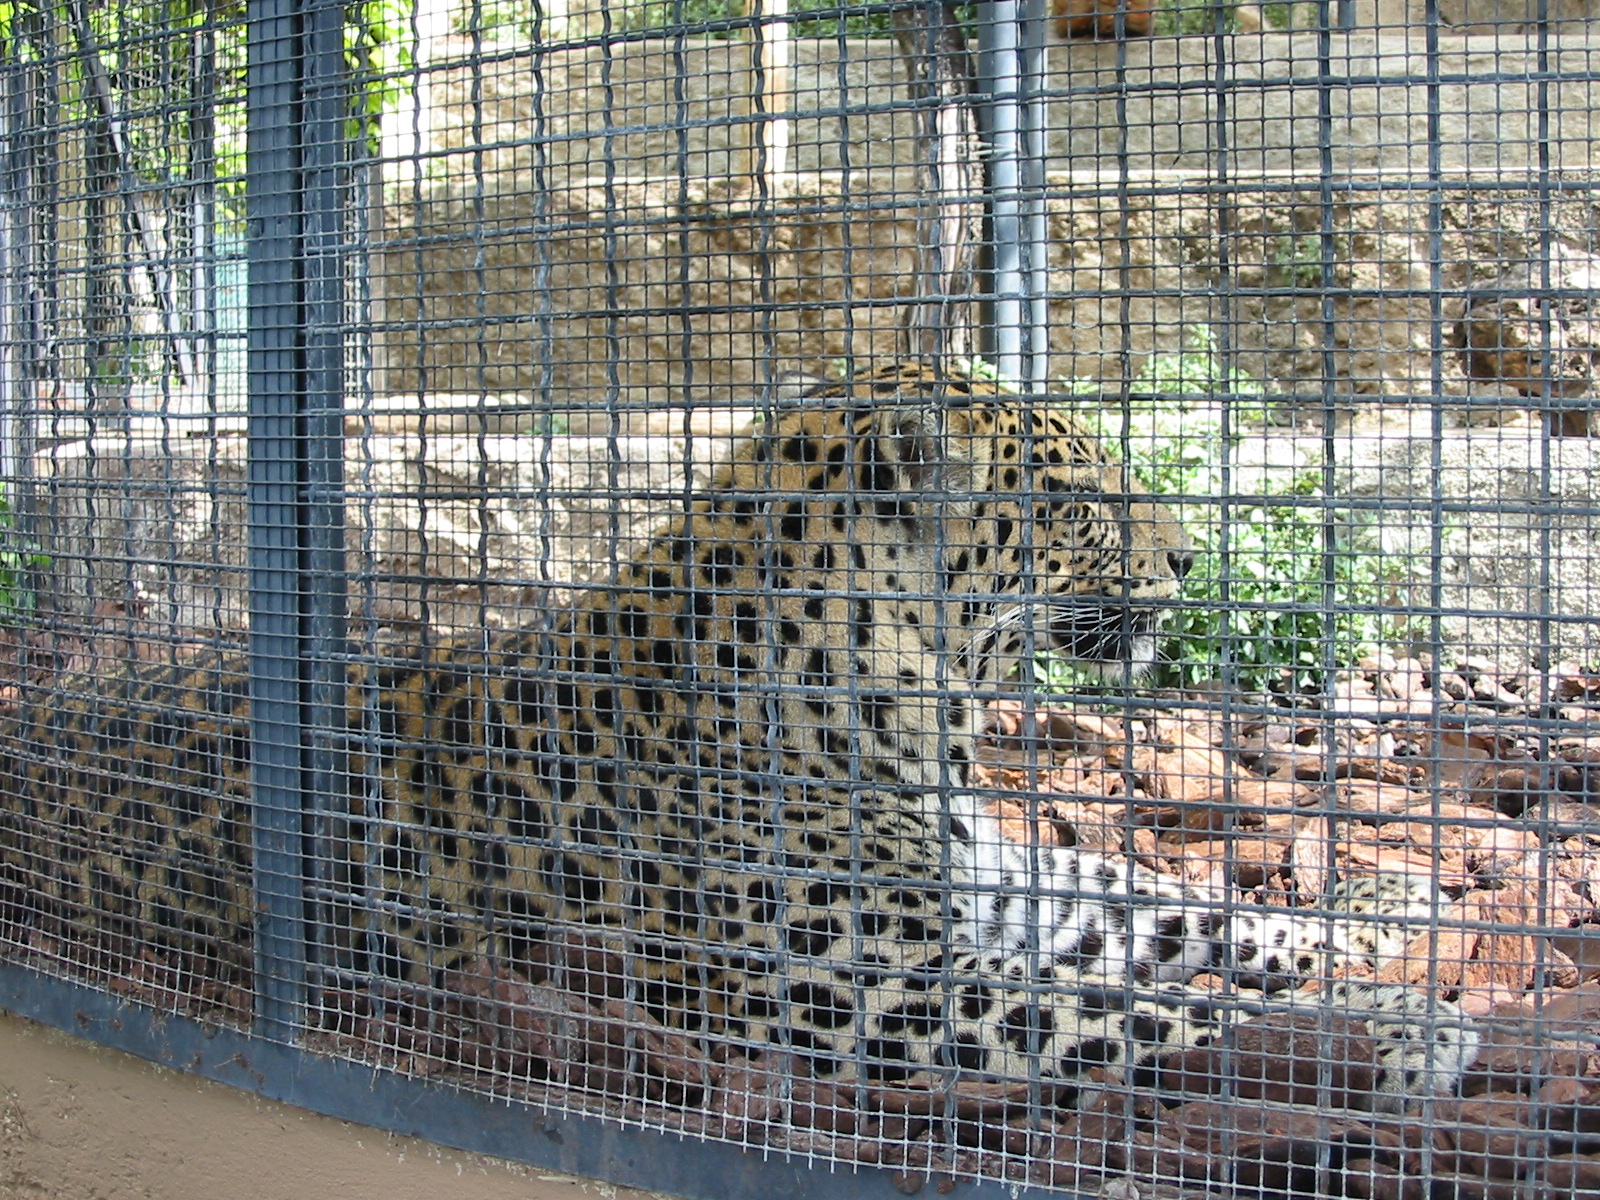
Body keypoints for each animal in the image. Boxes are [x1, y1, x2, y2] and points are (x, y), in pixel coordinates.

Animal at [0, 362, 1475, 1112]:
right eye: (1074, 495)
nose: (1186, 557)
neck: (904, 694)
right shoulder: (855, 995)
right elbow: (1145, 1009)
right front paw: (1391, 1043)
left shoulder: (996, 884)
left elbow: (1175, 910)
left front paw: (1384, 946)